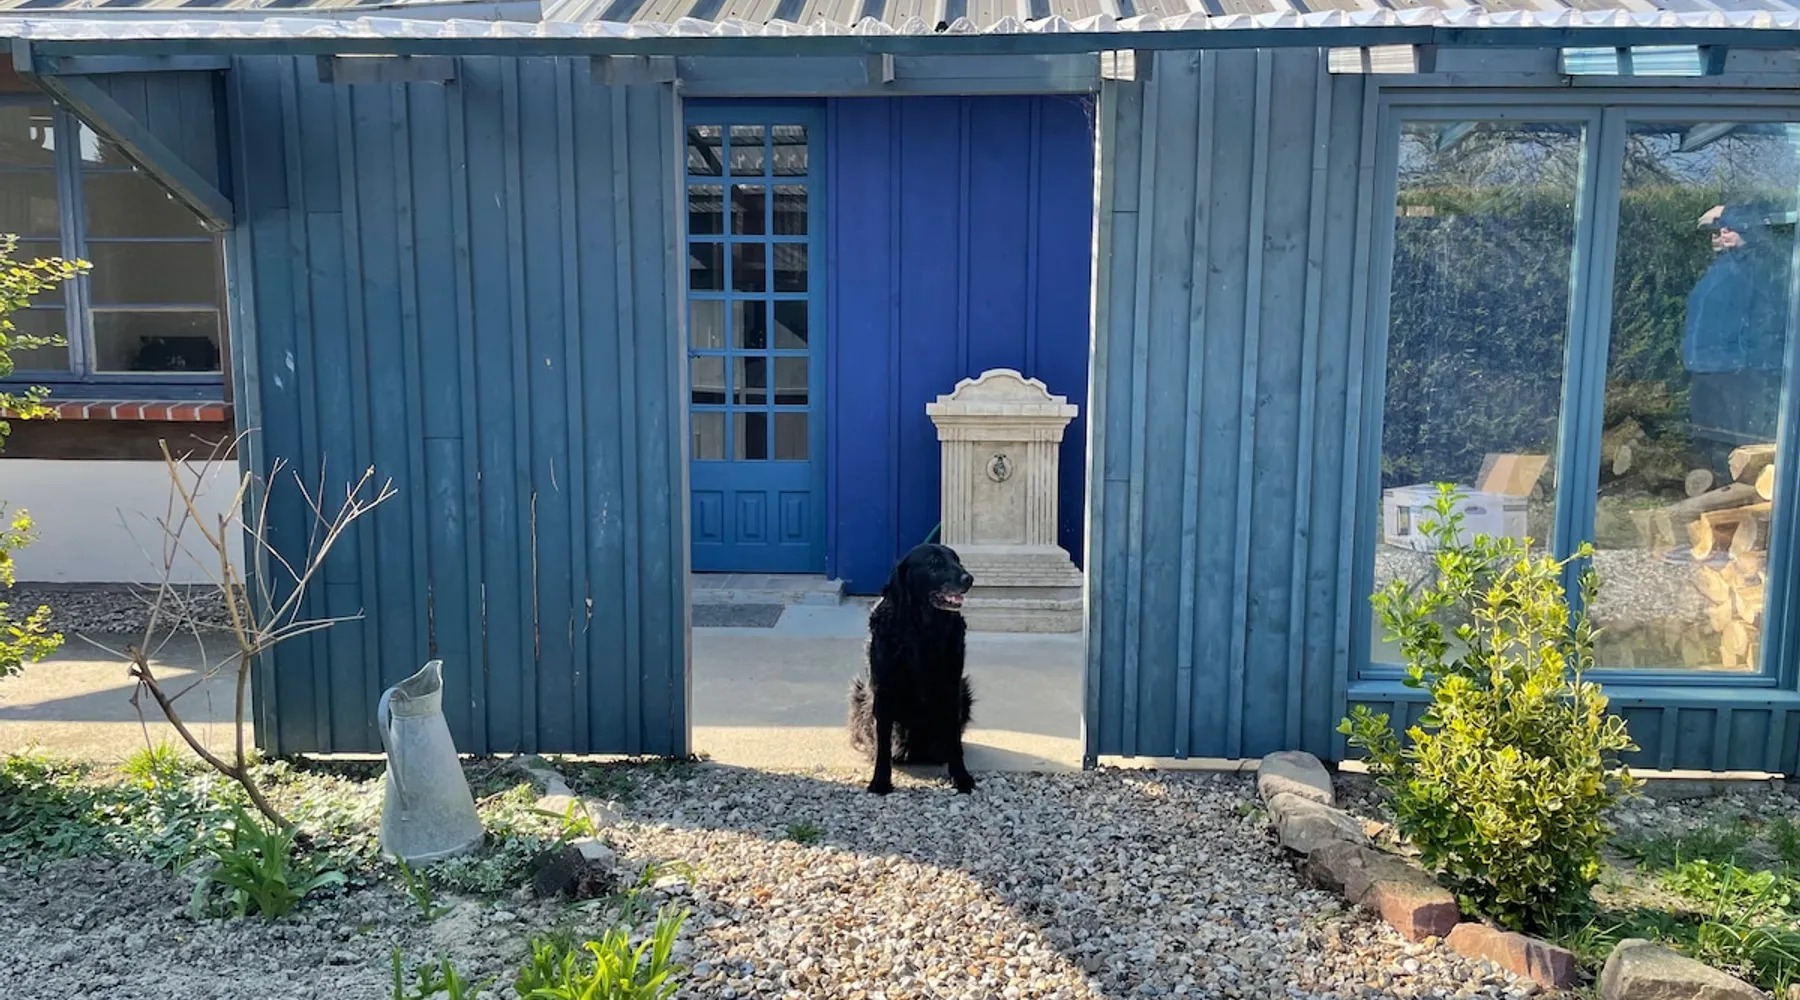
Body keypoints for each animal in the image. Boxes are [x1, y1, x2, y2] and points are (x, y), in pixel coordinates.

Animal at [848, 542, 977, 795]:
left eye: (957, 560)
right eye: (934, 562)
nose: (969, 578)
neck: (921, 629)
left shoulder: (952, 687)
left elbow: (954, 740)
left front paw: (961, 777)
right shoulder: (883, 691)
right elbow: (883, 742)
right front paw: (880, 781)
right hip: (859, 693)